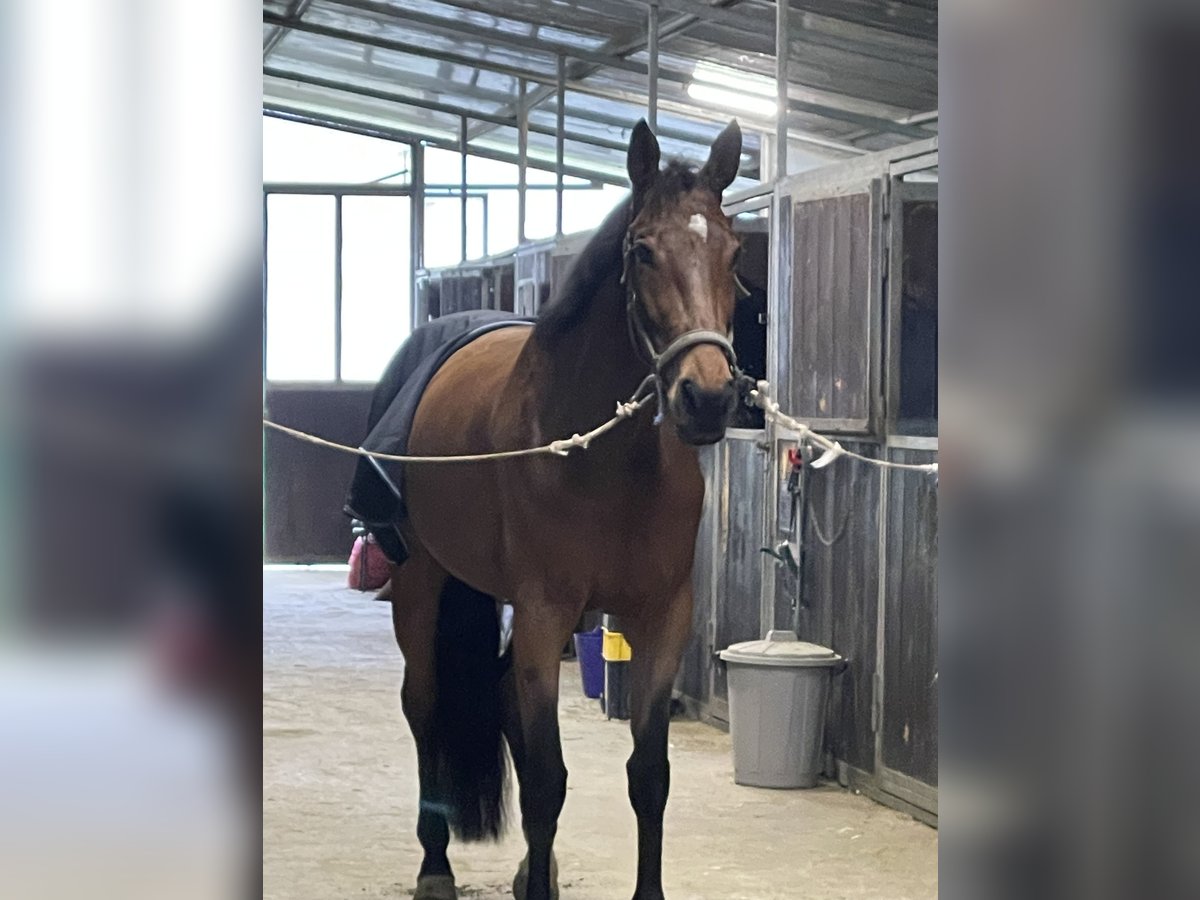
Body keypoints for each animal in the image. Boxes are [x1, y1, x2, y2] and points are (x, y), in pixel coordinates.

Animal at [388, 121, 739, 900]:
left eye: (733, 252)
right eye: (642, 251)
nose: (707, 398)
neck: (602, 458)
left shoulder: (662, 617)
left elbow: (649, 775)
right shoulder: (544, 612)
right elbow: (548, 781)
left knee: (500, 700)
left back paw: (529, 867)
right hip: (419, 584)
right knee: (423, 706)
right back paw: (433, 866)